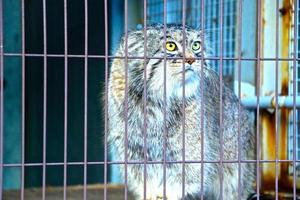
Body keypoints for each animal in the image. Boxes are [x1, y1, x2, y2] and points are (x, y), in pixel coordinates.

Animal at [108, 25, 255, 200]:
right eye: (170, 46)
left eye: (196, 45)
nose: (191, 59)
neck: (157, 99)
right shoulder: (133, 147)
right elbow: (144, 174)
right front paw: (150, 192)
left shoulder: (190, 147)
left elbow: (184, 173)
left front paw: (169, 193)